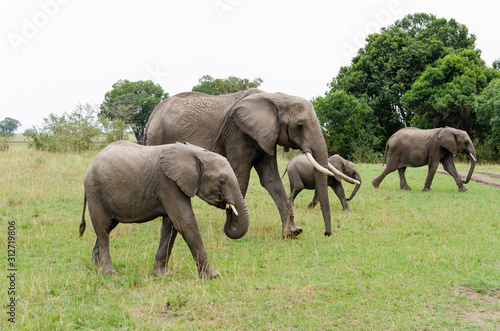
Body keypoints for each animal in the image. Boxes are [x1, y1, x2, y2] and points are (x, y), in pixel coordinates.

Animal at [79, 141, 249, 278]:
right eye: (221, 181)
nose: (228, 208)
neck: (197, 153)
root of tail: (90, 166)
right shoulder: (168, 183)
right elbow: (185, 222)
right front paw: (213, 276)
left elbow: (171, 225)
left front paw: (162, 275)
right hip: (96, 191)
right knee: (103, 229)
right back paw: (108, 272)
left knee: (107, 227)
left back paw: (96, 265)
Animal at [145, 89, 360, 239]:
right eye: (299, 126)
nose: (326, 233)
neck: (275, 97)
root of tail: (152, 115)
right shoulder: (238, 133)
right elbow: (241, 177)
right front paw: (232, 228)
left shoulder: (267, 136)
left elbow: (271, 179)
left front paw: (292, 233)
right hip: (158, 138)